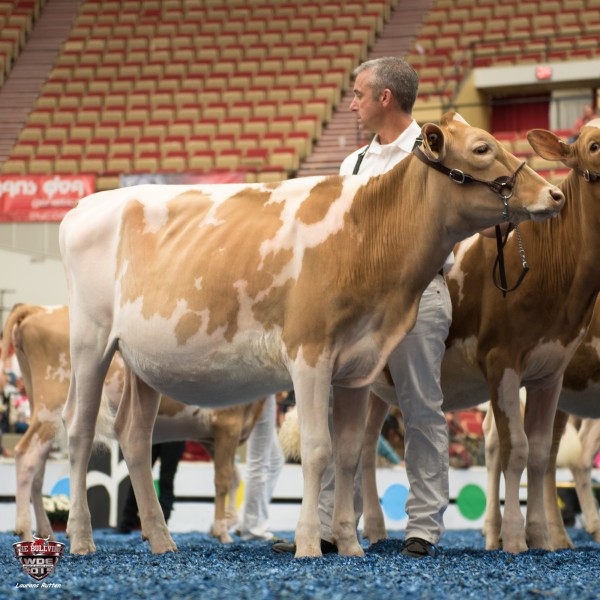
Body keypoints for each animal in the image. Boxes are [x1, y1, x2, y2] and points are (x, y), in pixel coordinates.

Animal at [1, 303, 264, 544]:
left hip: (39, 406)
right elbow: (222, 480)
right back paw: (24, 530)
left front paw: (225, 524)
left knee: (38, 468)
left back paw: (46, 531)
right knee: (26, 455)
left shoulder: (210, 438)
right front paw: (223, 532)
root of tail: (39, 308)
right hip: (51, 406)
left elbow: (235, 478)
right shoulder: (228, 424)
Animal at [58, 111, 564, 557]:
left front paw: (349, 545)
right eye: (482, 148)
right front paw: (307, 545)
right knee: (81, 429)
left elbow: (348, 455)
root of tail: (86, 204)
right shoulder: (309, 351)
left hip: (144, 360)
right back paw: (81, 539)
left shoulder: (358, 363)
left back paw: (162, 540)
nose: (556, 193)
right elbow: (318, 450)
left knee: (134, 436)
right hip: (89, 339)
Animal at [364, 119, 600, 554]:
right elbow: (516, 448)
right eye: (594, 145)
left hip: (378, 387)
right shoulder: (501, 360)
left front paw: (539, 536)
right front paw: (515, 538)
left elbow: (540, 451)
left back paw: (372, 528)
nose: (554, 195)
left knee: (364, 445)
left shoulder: (552, 369)